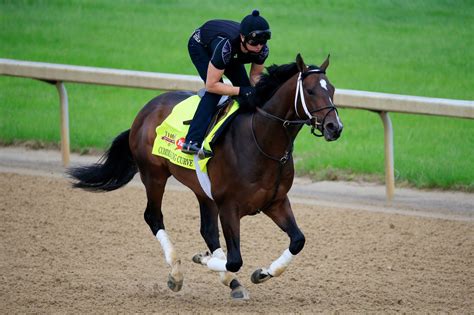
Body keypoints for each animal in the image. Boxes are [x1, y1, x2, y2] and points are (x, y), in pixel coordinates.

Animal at [68, 55, 342, 302]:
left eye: (332, 90)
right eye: (310, 90)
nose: (335, 127)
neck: (262, 141)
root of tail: (146, 110)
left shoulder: (275, 202)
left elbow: (297, 241)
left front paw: (261, 273)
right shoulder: (229, 206)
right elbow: (235, 260)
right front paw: (203, 259)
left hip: (202, 191)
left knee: (207, 231)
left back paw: (231, 282)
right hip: (154, 175)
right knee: (153, 216)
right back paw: (177, 274)